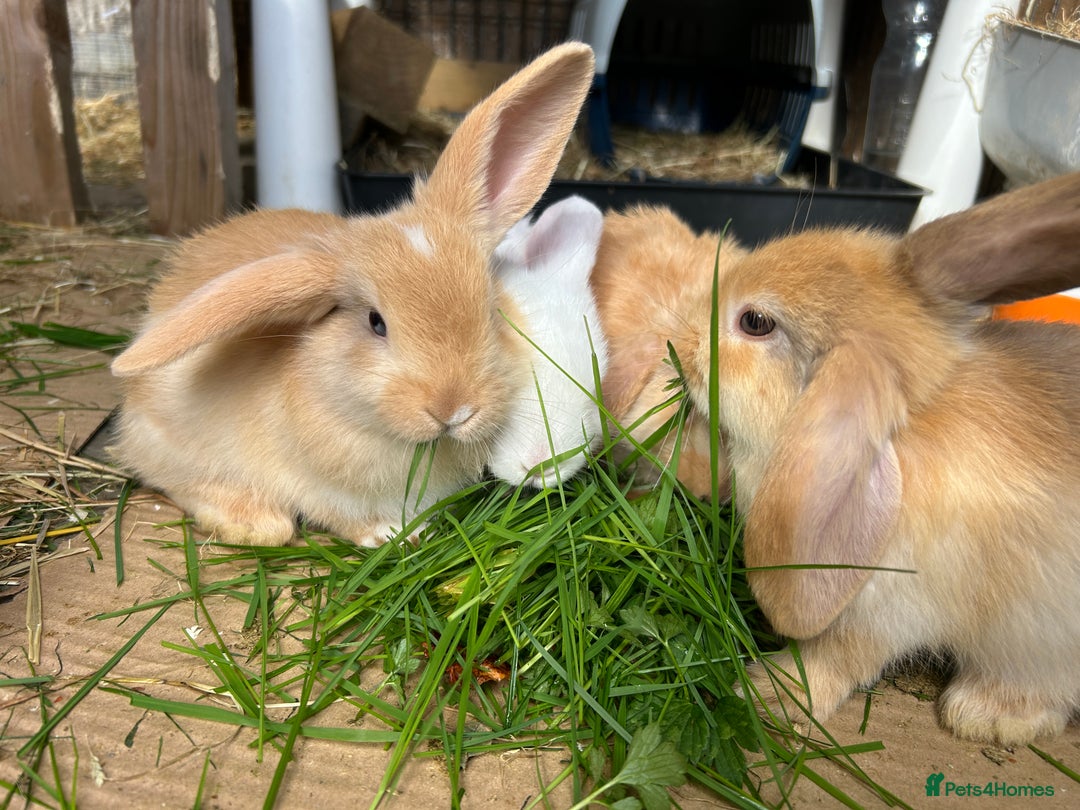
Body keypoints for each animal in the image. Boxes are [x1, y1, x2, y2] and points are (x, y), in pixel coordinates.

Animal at [109, 43, 597, 548]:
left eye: (490, 310)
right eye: (375, 322)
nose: (454, 409)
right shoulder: (322, 488)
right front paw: (392, 535)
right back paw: (250, 521)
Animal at [673, 170, 1080, 745]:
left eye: (754, 322)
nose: (682, 338)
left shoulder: (885, 608)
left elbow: (836, 657)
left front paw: (768, 694)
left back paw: (986, 714)